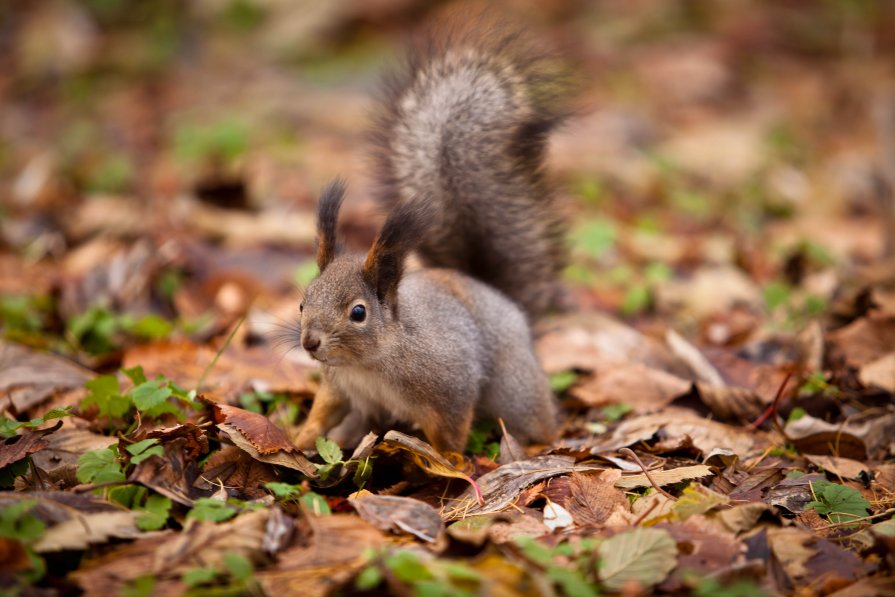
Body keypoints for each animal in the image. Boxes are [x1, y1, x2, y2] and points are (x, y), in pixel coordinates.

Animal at [298, 18, 572, 452]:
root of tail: (502, 299)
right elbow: (321, 413)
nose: (310, 342)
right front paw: (295, 438)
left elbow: (451, 431)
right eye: (302, 303)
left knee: (534, 418)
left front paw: (448, 461)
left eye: (358, 312)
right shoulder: (339, 388)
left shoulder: (450, 385)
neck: (367, 364)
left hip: (514, 388)